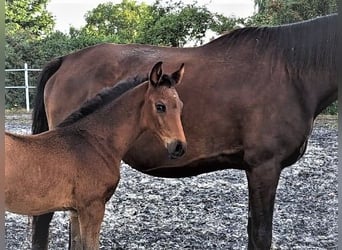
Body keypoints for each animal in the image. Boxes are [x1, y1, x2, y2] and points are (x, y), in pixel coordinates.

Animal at [5, 61, 187, 250]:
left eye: (180, 105)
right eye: (160, 106)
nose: (179, 147)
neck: (95, 141)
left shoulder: (76, 212)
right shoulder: (92, 208)